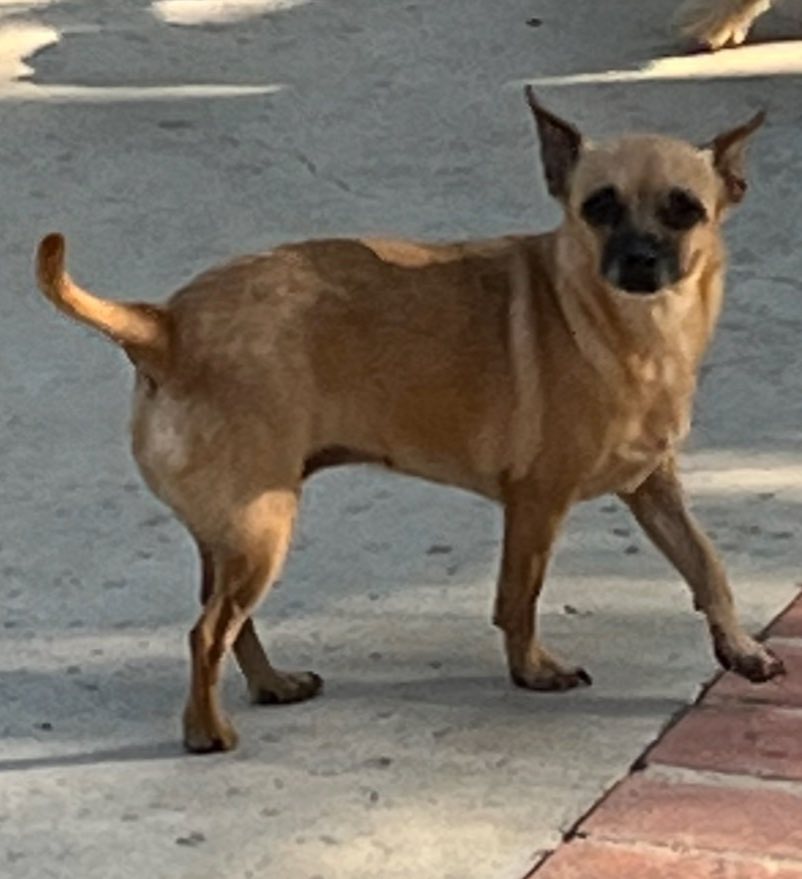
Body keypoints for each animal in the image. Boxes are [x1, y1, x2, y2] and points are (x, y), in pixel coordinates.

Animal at [34, 89, 784, 752]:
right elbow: (519, 596)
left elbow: (707, 566)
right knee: (205, 630)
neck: (630, 327)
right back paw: (207, 731)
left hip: (231, 536)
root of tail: (165, 327)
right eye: (598, 207)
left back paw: (271, 684)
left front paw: (741, 649)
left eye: (685, 210)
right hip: (260, 531)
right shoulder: (537, 503)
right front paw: (533, 670)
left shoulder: (654, 488)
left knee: (222, 622)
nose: (639, 258)